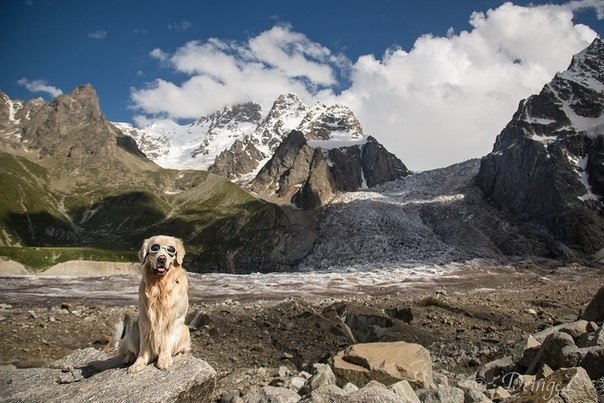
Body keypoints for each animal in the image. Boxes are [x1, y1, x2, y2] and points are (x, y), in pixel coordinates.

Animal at [118, 235, 191, 374]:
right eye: (155, 248)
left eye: (171, 250)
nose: (162, 259)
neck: (160, 286)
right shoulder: (145, 321)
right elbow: (143, 348)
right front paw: (139, 363)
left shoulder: (173, 320)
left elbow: (167, 341)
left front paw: (164, 360)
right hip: (134, 326)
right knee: (130, 349)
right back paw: (129, 357)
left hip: (185, 329)